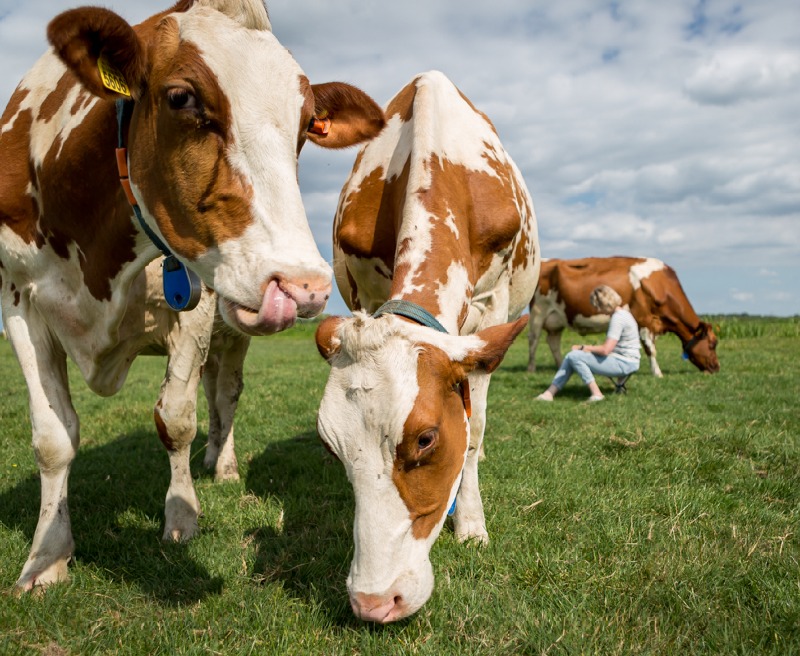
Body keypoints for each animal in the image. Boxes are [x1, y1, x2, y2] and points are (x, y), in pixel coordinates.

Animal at [0, 0, 384, 592]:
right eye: (181, 97)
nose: (304, 286)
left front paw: (181, 514)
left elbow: (176, 418)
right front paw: (47, 554)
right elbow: (53, 438)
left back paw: (220, 464)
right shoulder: (19, 298)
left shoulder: (196, 308)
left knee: (224, 395)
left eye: (306, 125)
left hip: (232, 334)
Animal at [316, 70, 540, 620]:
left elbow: (474, 430)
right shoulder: (367, 290)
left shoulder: (491, 307)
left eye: (426, 440)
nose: (374, 601)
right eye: (331, 447)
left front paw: (472, 525)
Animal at [528, 258, 720, 380]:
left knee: (553, 342)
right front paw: (658, 374)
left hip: (557, 319)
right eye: (713, 344)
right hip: (538, 312)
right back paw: (531, 369)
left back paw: (561, 365)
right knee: (534, 341)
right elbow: (651, 350)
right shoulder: (644, 320)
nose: (717, 368)